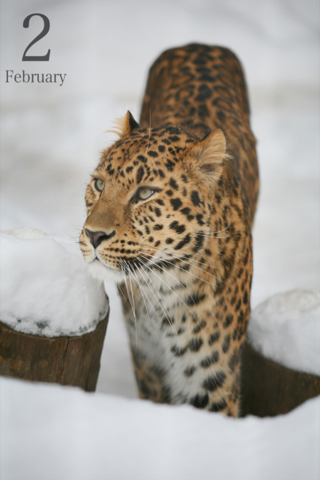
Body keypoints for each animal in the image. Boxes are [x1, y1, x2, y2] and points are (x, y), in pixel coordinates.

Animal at [79, 43, 258, 414]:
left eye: (145, 193)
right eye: (99, 185)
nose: (93, 235)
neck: (161, 286)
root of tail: (200, 44)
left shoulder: (210, 381)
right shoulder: (148, 365)